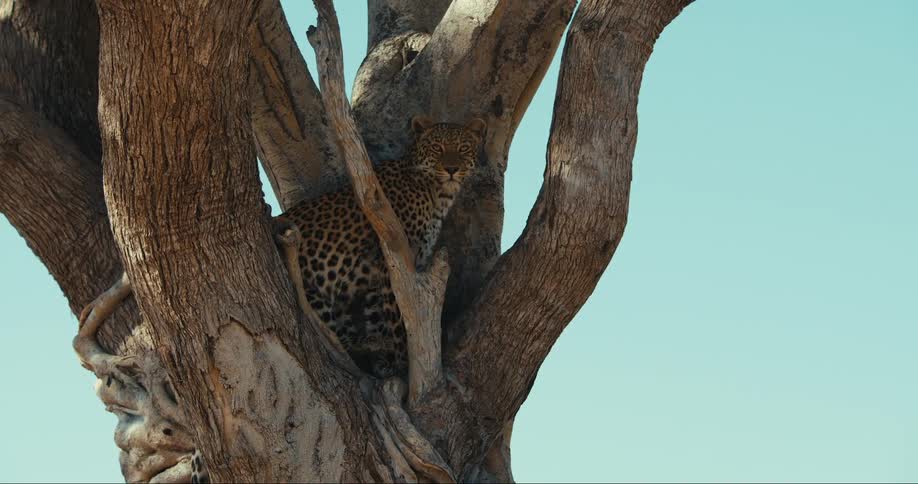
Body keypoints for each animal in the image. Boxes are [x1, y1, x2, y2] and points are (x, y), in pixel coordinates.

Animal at [277, 115, 487, 377]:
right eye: (438, 147)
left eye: (463, 148)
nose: (451, 169)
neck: (438, 194)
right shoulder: (393, 262)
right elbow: (398, 318)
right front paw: (402, 363)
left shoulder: (379, 273)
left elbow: (378, 315)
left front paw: (387, 360)